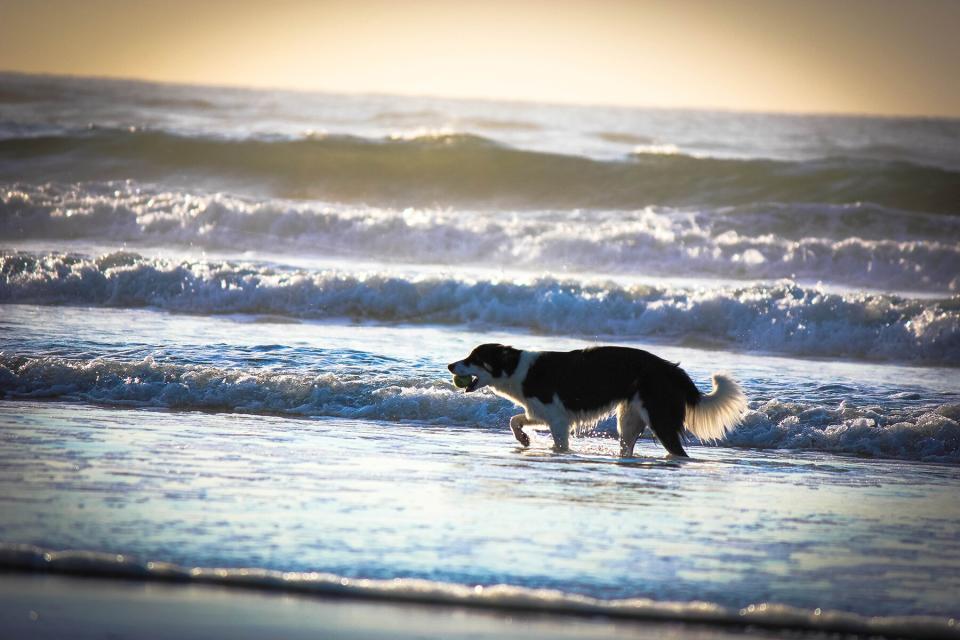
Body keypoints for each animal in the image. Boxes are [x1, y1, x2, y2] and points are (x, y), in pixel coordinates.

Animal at [446, 344, 748, 456]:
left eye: (473, 358)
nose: (449, 365)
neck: (517, 368)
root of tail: (672, 369)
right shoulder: (542, 412)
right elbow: (515, 419)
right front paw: (523, 439)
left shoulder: (558, 420)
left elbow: (558, 443)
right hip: (628, 420)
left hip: (658, 419)